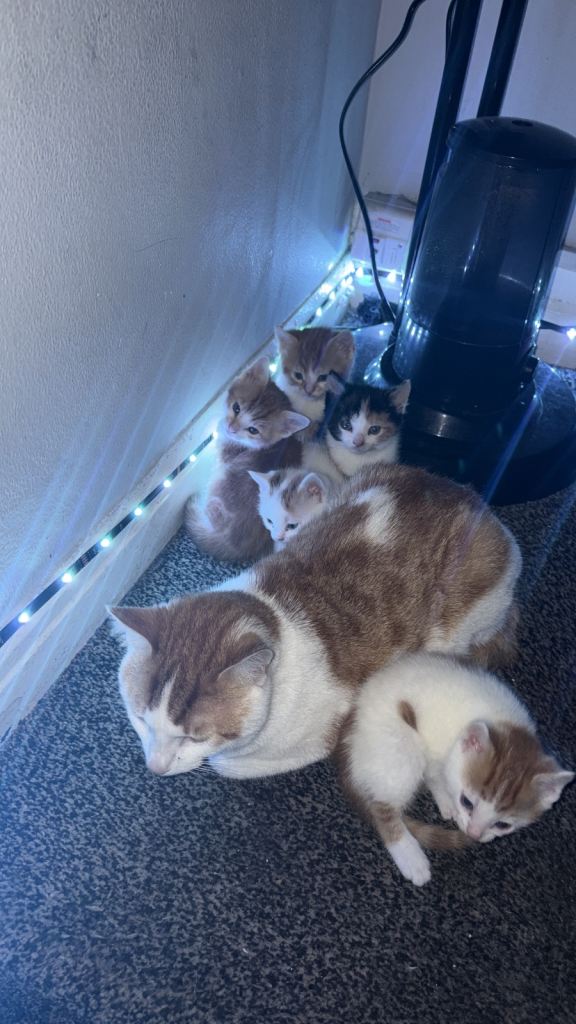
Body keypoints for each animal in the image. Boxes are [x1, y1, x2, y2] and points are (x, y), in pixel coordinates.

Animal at [112, 462, 521, 782]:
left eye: (194, 737)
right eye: (140, 719)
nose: (155, 767)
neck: (271, 609)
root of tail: (480, 506)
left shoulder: (320, 734)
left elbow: (228, 763)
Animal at [340, 652, 573, 887]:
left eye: (503, 825)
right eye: (467, 802)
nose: (474, 834)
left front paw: (445, 801)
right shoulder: (434, 746)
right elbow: (435, 776)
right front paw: (446, 798)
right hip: (399, 744)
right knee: (382, 806)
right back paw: (410, 856)